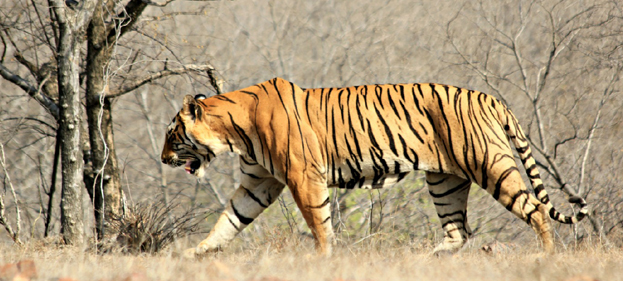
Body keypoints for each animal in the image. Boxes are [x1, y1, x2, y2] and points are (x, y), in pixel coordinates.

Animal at [161, 76, 588, 256]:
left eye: (172, 134)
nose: (163, 159)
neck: (234, 130)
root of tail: (491, 98)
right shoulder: (259, 182)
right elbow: (229, 219)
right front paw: (197, 253)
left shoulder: (303, 177)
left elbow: (319, 223)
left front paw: (324, 259)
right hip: (445, 180)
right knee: (458, 231)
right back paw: (426, 260)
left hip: (490, 165)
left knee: (534, 209)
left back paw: (545, 257)